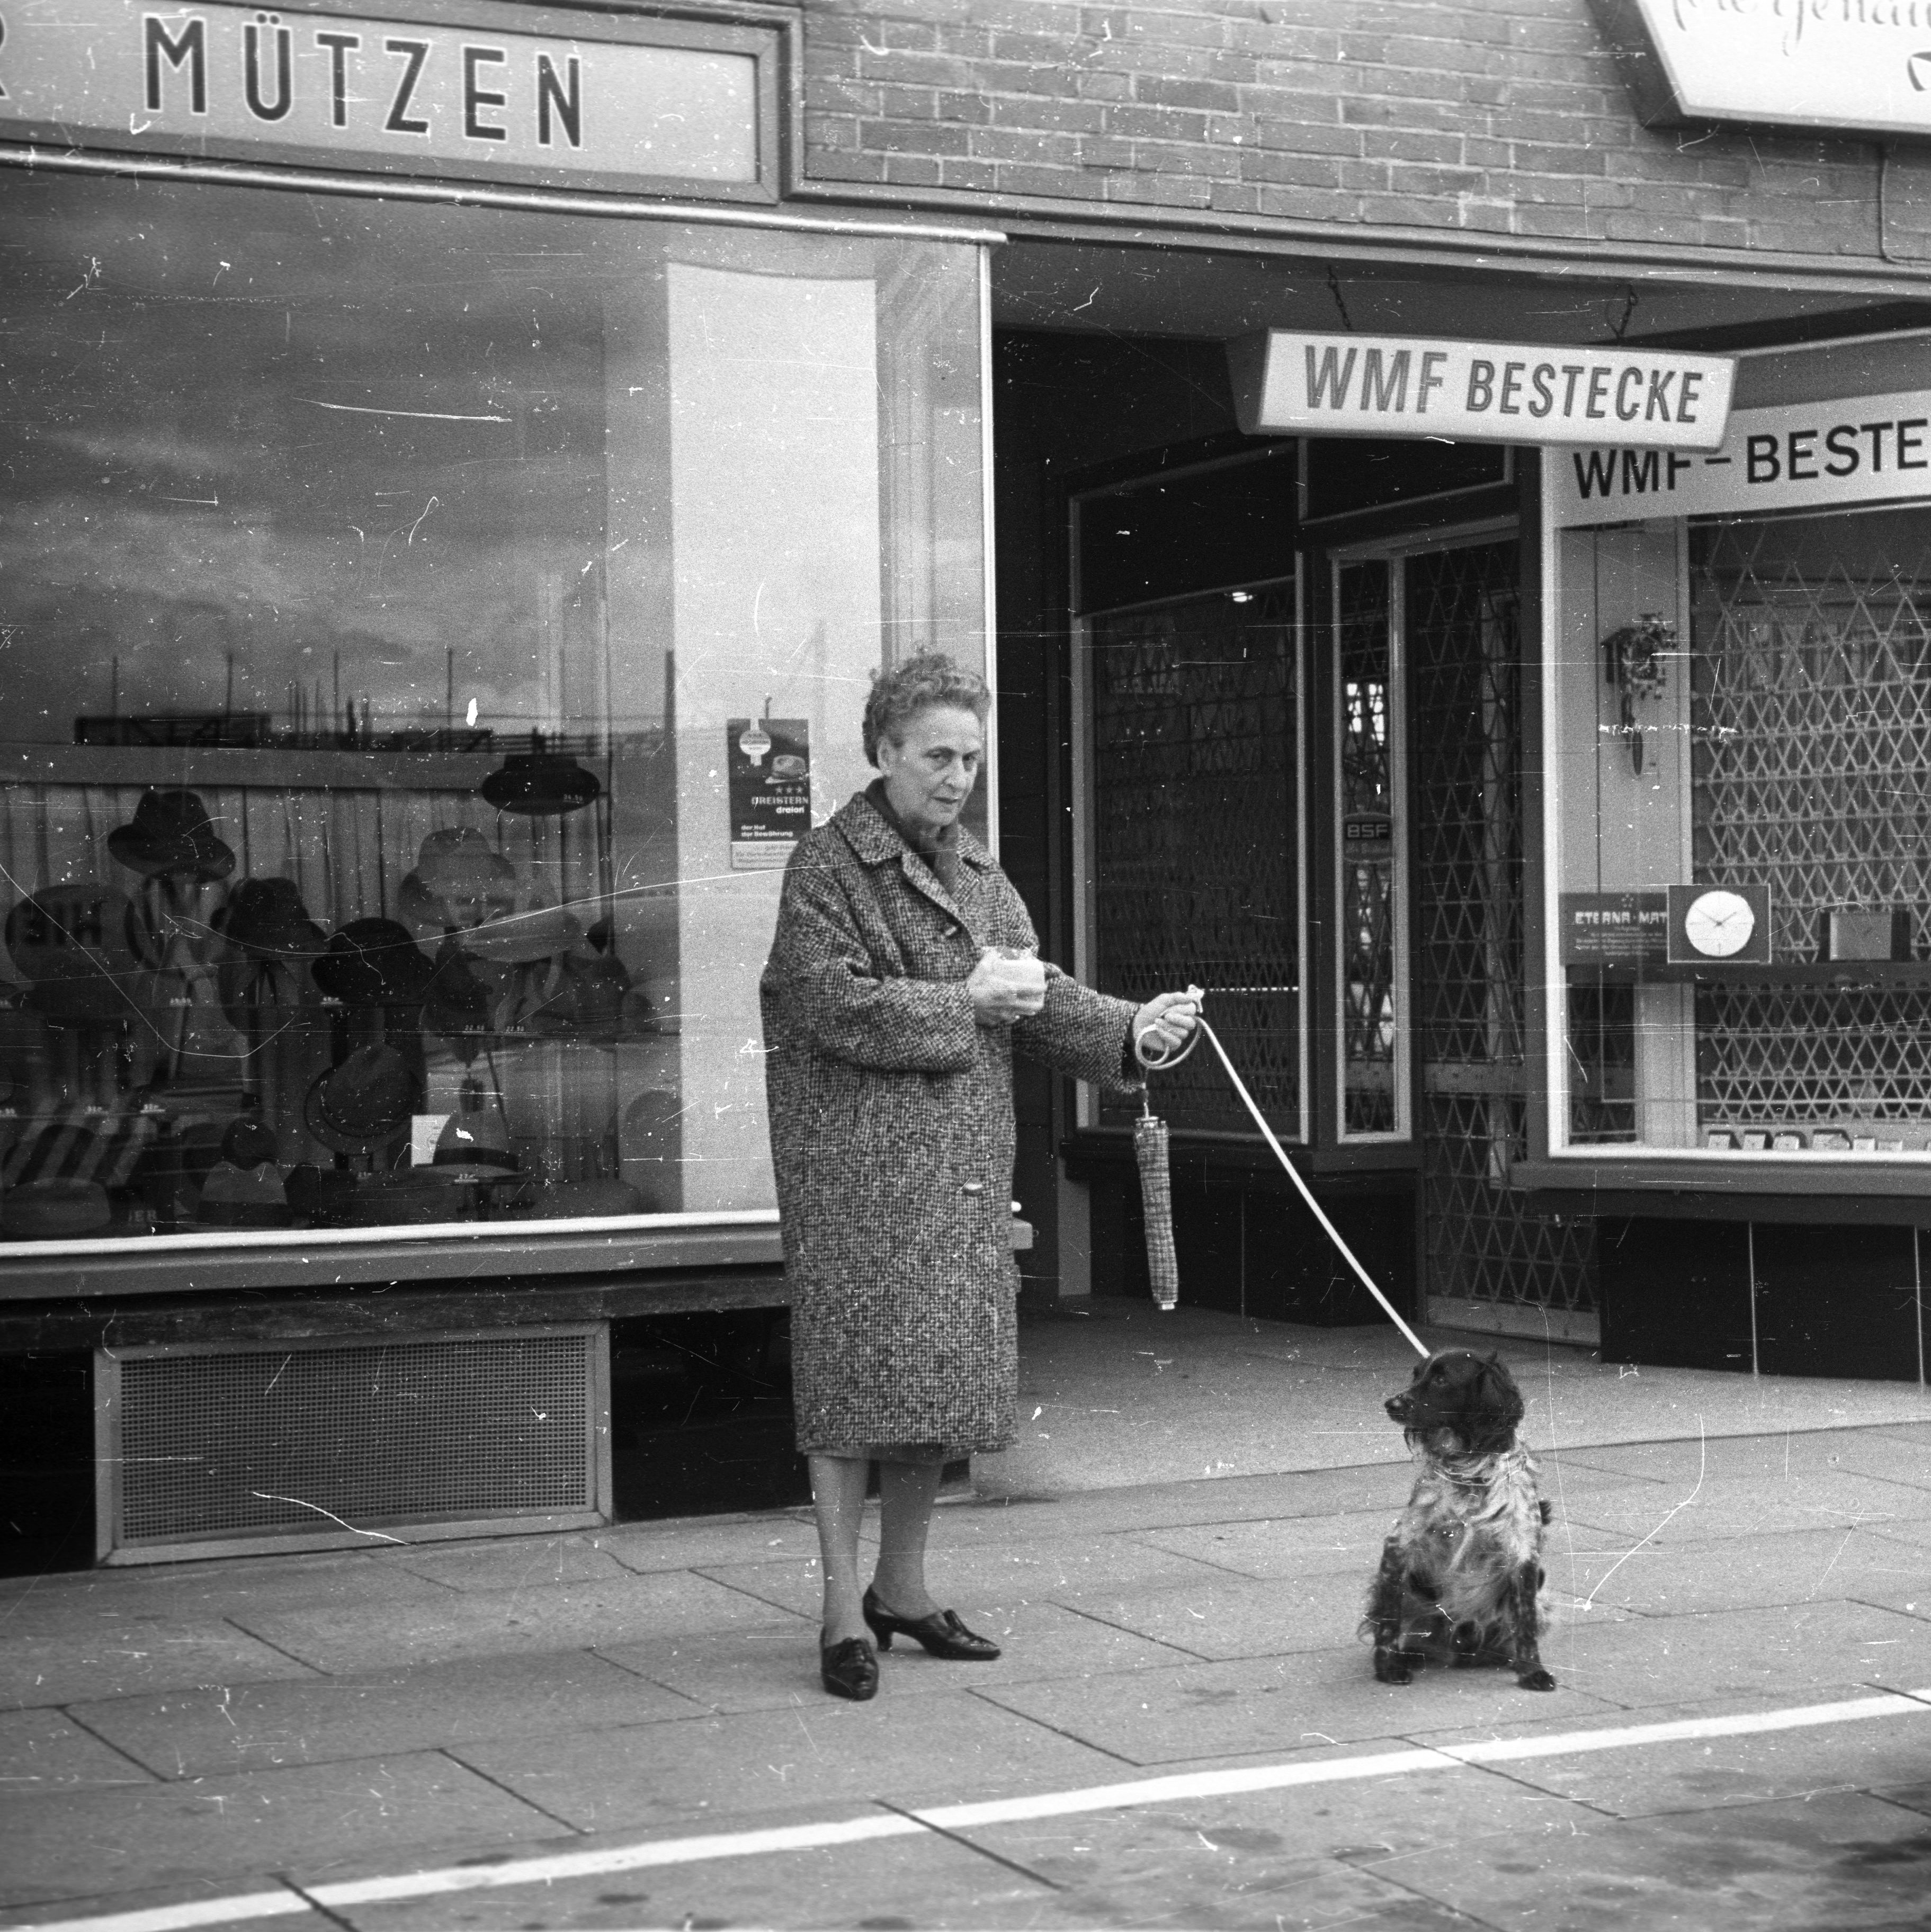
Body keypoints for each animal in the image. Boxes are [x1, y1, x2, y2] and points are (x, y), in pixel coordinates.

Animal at [1368, 1345, 1561, 1692]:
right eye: (1416, 1374)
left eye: (1442, 1379)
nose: (1392, 1403)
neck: (1471, 1473)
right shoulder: (1399, 1545)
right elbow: (1388, 1619)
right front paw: (1389, 1667)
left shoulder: (1524, 1553)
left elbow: (1525, 1622)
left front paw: (1532, 1671)